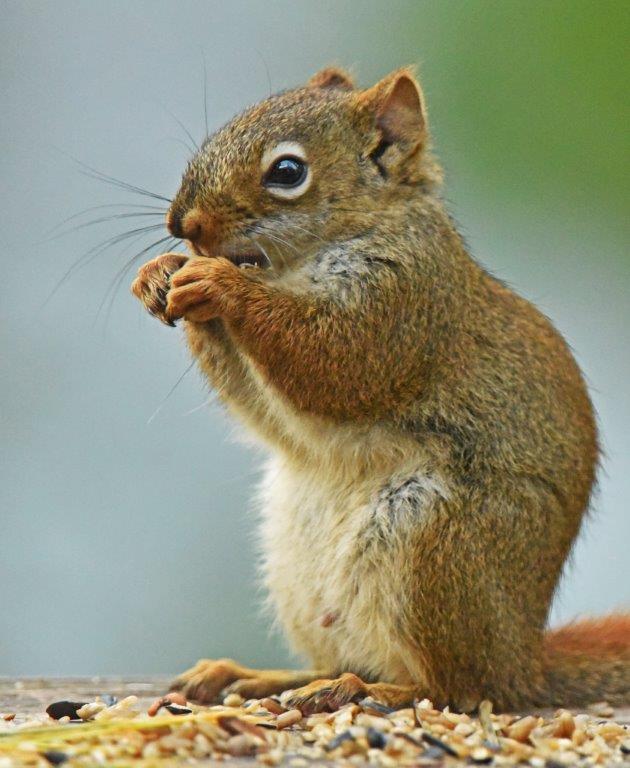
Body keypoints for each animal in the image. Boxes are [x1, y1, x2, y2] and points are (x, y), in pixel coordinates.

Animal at [131, 66, 629, 713]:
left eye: (286, 171)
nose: (182, 226)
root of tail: (523, 664)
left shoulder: (402, 304)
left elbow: (334, 361)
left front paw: (220, 283)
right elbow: (264, 408)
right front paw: (159, 274)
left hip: (436, 550)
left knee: (455, 688)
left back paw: (368, 689)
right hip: (296, 566)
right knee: (349, 656)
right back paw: (262, 678)